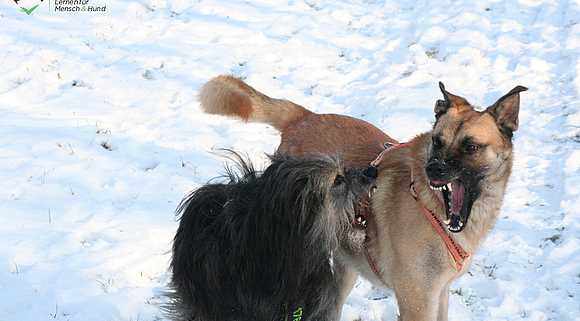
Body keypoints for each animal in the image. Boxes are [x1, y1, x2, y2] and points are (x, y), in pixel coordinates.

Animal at [198, 75, 524, 320]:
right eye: (437, 141)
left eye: (471, 147)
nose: (434, 169)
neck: (430, 207)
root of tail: (304, 117)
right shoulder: (417, 302)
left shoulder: (439, 294)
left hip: (344, 268)